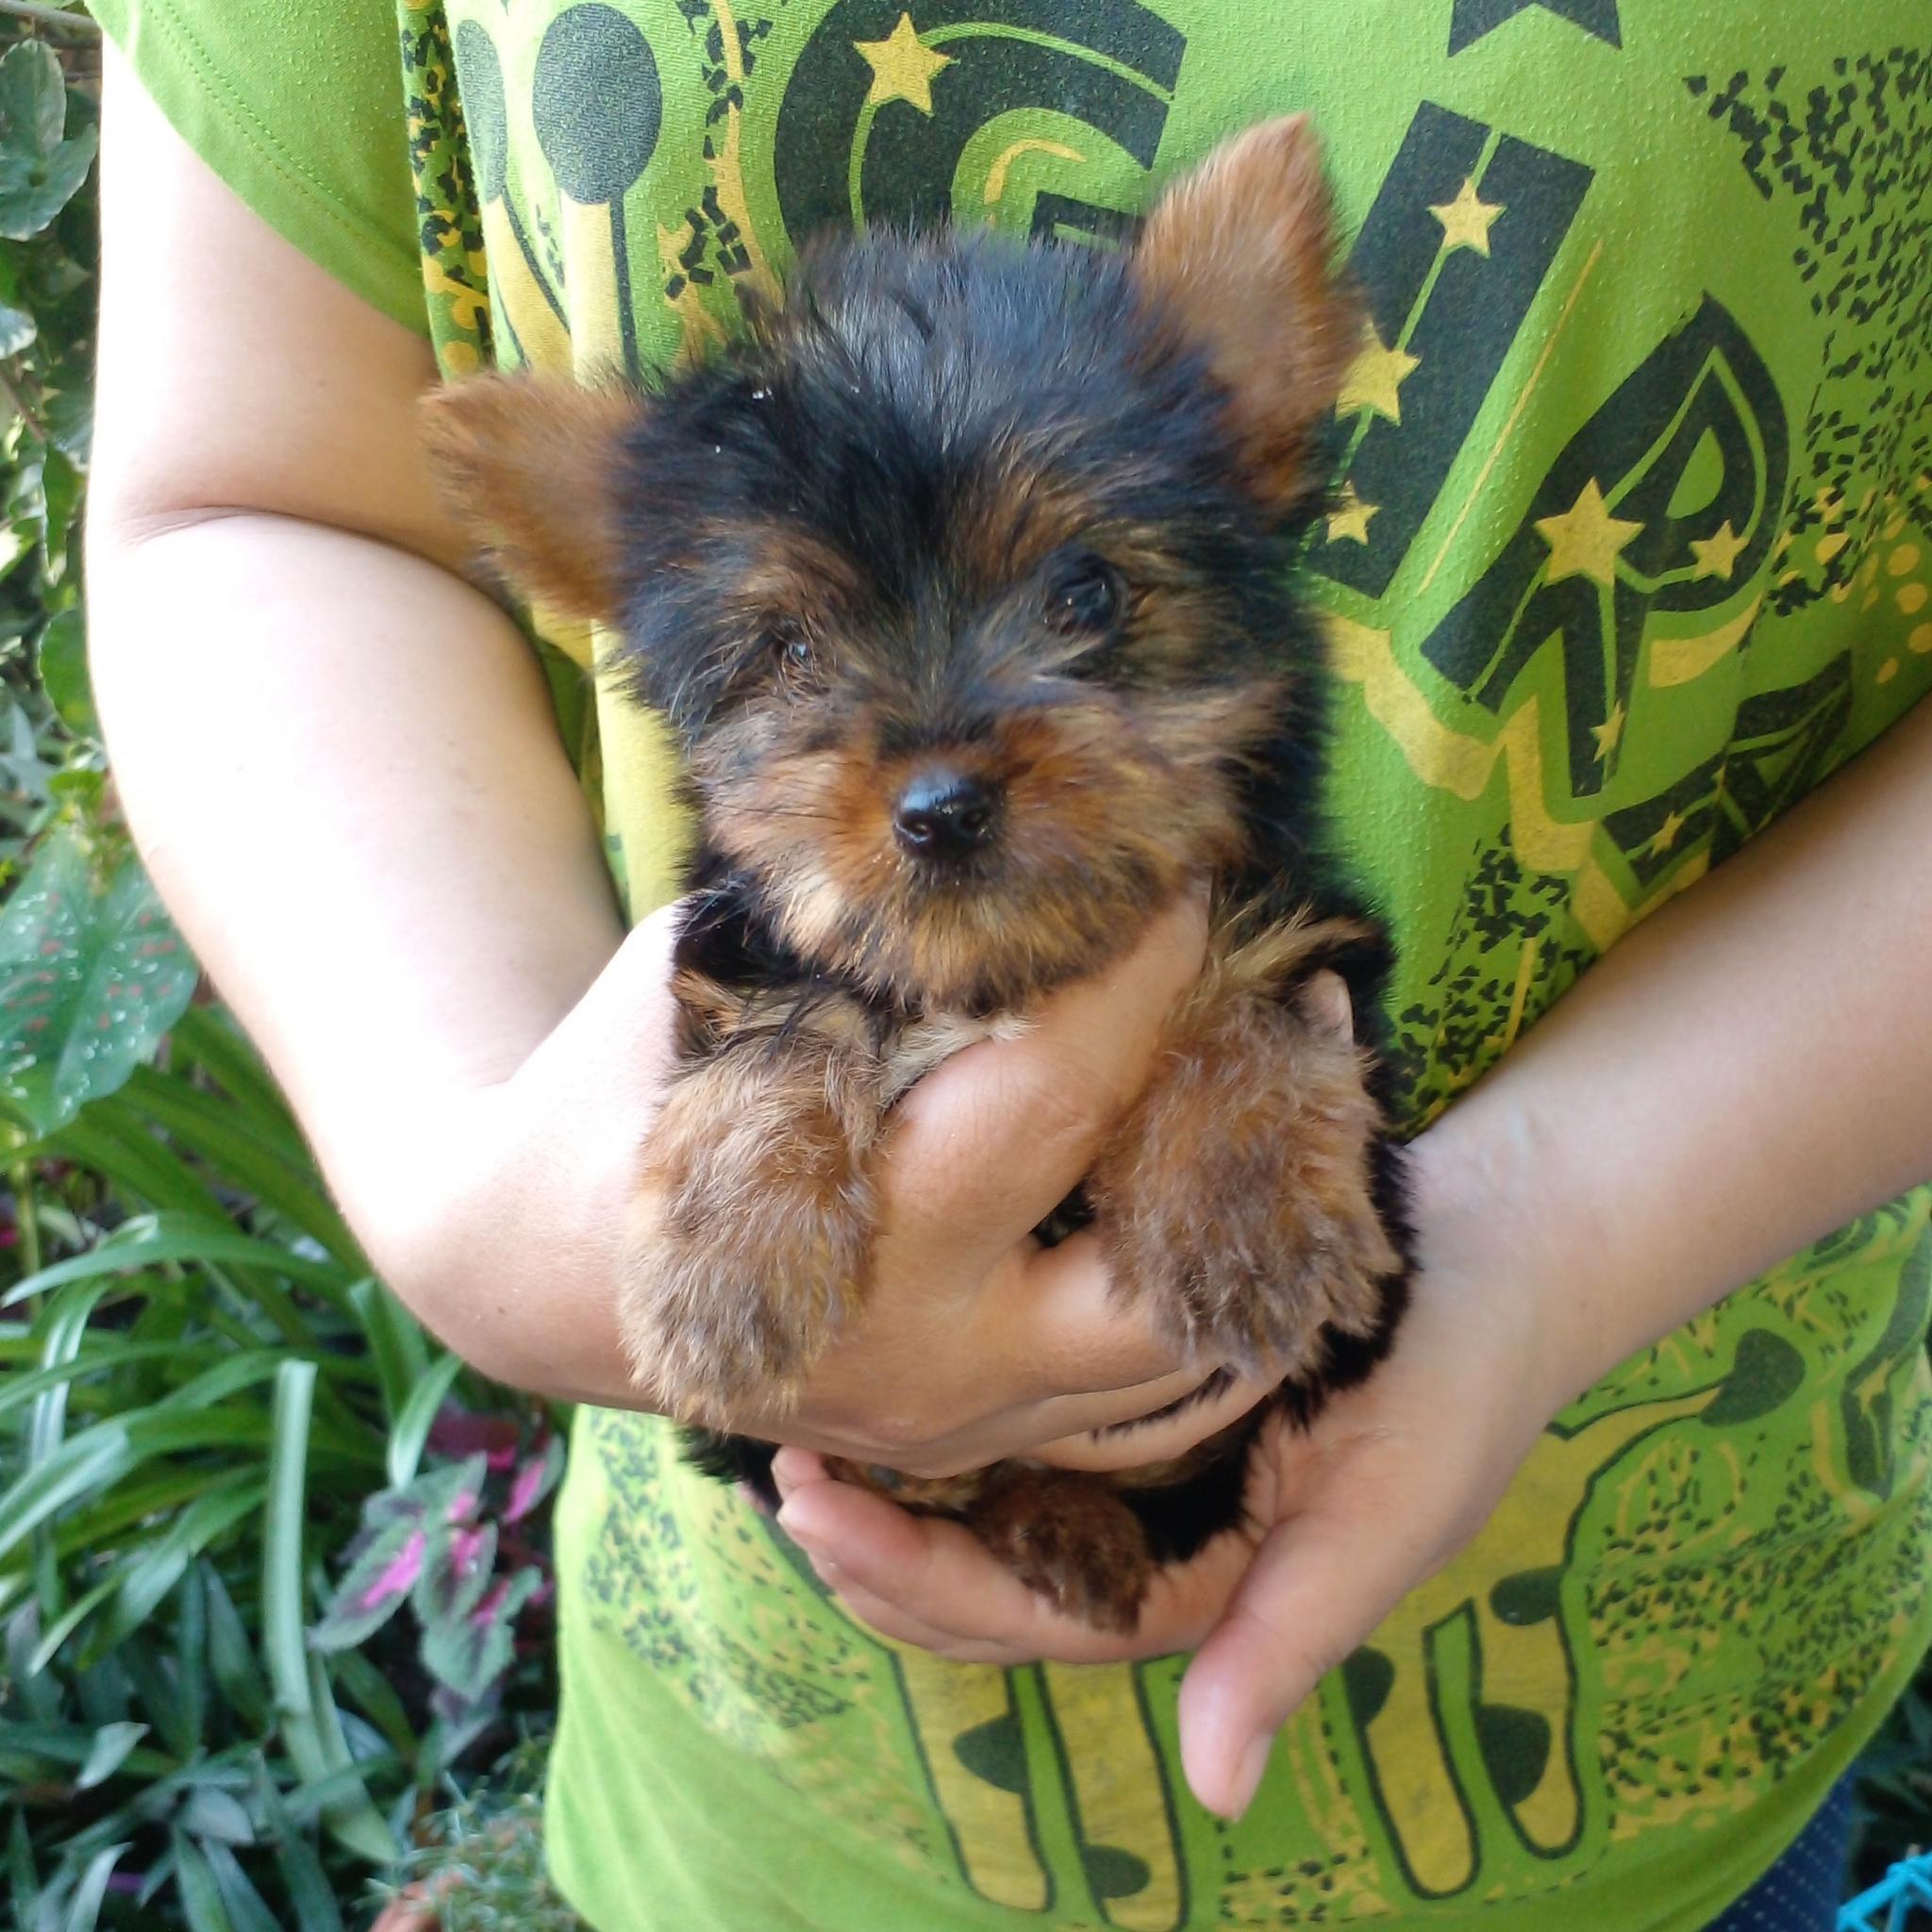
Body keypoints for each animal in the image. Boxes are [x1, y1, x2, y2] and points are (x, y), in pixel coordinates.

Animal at [423, 116, 1411, 1633]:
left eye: (1086, 592)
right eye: (789, 651)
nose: (940, 810)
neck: (993, 973)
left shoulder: (1298, 917)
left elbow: (1247, 1007)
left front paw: (1246, 1210)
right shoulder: (756, 933)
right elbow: (785, 1025)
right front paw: (729, 1264)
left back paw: (1073, 1520)